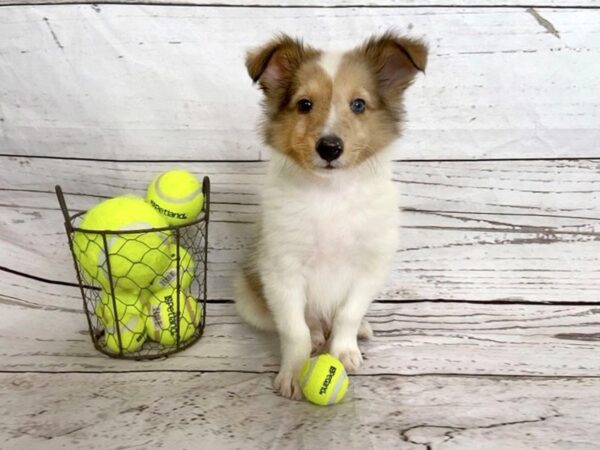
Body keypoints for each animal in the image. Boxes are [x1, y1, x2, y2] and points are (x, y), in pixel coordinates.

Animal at [234, 31, 426, 400]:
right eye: (304, 104)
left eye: (359, 104)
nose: (330, 148)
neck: (330, 194)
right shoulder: (282, 270)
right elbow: (294, 330)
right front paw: (293, 373)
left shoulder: (370, 266)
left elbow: (348, 314)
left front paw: (344, 351)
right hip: (249, 298)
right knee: (306, 323)